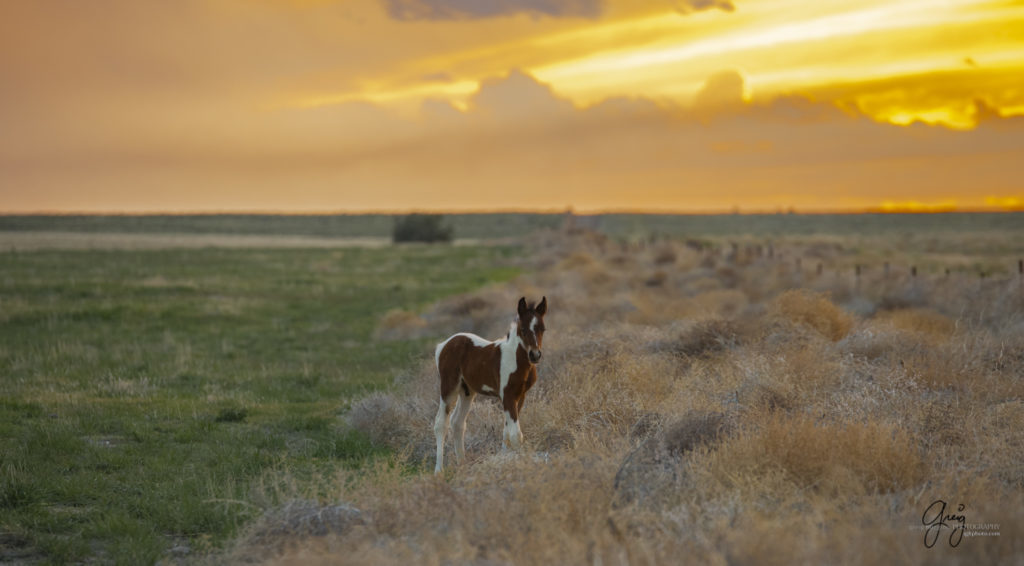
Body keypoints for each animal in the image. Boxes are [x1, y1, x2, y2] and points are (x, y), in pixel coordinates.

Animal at [432, 294, 548, 472]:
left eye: (542, 328)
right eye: (523, 329)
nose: (535, 355)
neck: (516, 359)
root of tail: (443, 345)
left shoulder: (520, 396)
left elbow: (507, 431)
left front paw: (505, 459)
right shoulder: (507, 396)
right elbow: (515, 434)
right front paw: (520, 463)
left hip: (467, 391)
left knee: (457, 422)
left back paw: (462, 464)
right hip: (448, 388)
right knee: (440, 423)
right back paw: (439, 471)